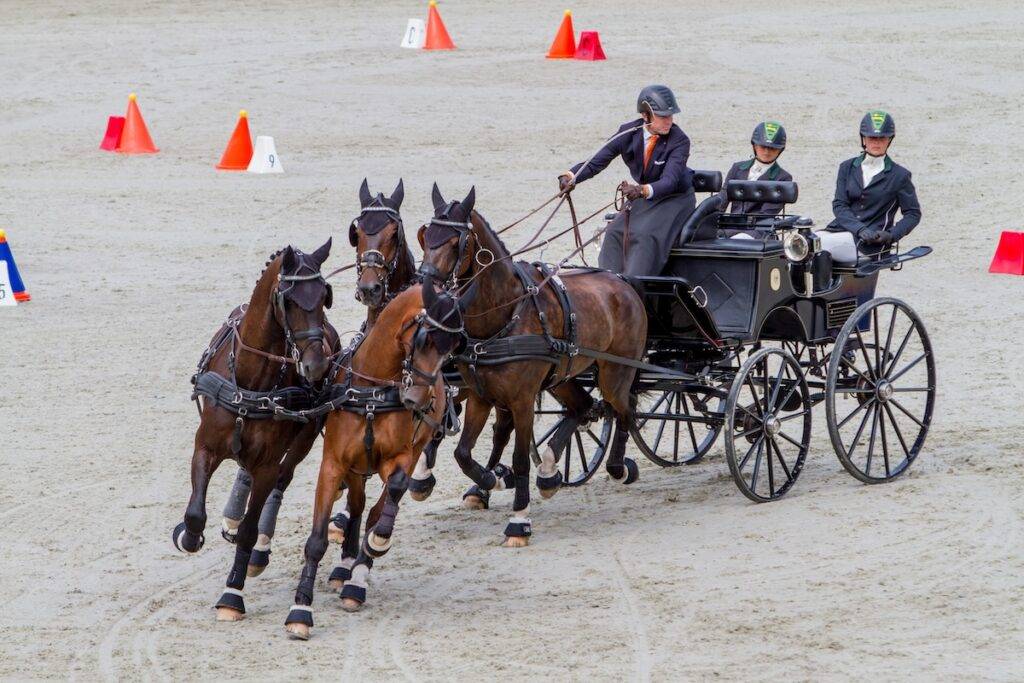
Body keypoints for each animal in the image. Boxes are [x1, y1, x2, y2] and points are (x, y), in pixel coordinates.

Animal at [172, 240, 337, 622]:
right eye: (289, 300)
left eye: (324, 296)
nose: (316, 366)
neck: (251, 380)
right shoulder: (205, 447)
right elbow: (195, 513)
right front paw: (188, 537)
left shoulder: (267, 465)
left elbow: (250, 527)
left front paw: (233, 593)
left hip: (303, 440)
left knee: (282, 480)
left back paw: (260, 550)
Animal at [284, 284, 453, 639]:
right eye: (423, 340)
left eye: (452, 348)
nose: (419, 400)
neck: (372, 393)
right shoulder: (333, 464)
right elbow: (317, 540)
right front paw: (301, 610)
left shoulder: (399, 458)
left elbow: (394, 491)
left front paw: (377, 543)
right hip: (355, 468)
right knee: (358, 504)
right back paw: (346, 565)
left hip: (412, 448)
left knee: (377, 508)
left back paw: (358, 577)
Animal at [411, 184, 648, 546]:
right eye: (426, 237)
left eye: (455, 242)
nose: (427, 285)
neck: (504, 314)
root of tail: (624, 282)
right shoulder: (481, 395)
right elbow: (463, 453)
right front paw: (488, 481)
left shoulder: (521, 400)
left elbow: (520, 458)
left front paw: (518, 520)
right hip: (562, 375)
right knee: (584, 407)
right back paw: (550, 473)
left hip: (615, 373)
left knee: (623, 407)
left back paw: (617, 467)